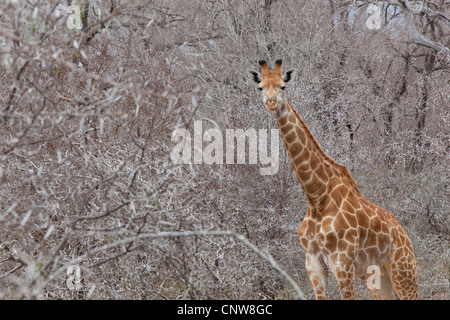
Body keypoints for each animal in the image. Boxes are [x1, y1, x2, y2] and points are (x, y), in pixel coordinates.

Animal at [250, 60, 418, 300]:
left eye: (283, 86)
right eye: (260, 87)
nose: (271, 103)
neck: (317, 197)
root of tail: (405, 235)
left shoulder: (343, 263)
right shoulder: (313, 265)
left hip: (403, 270)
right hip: (376, 275)